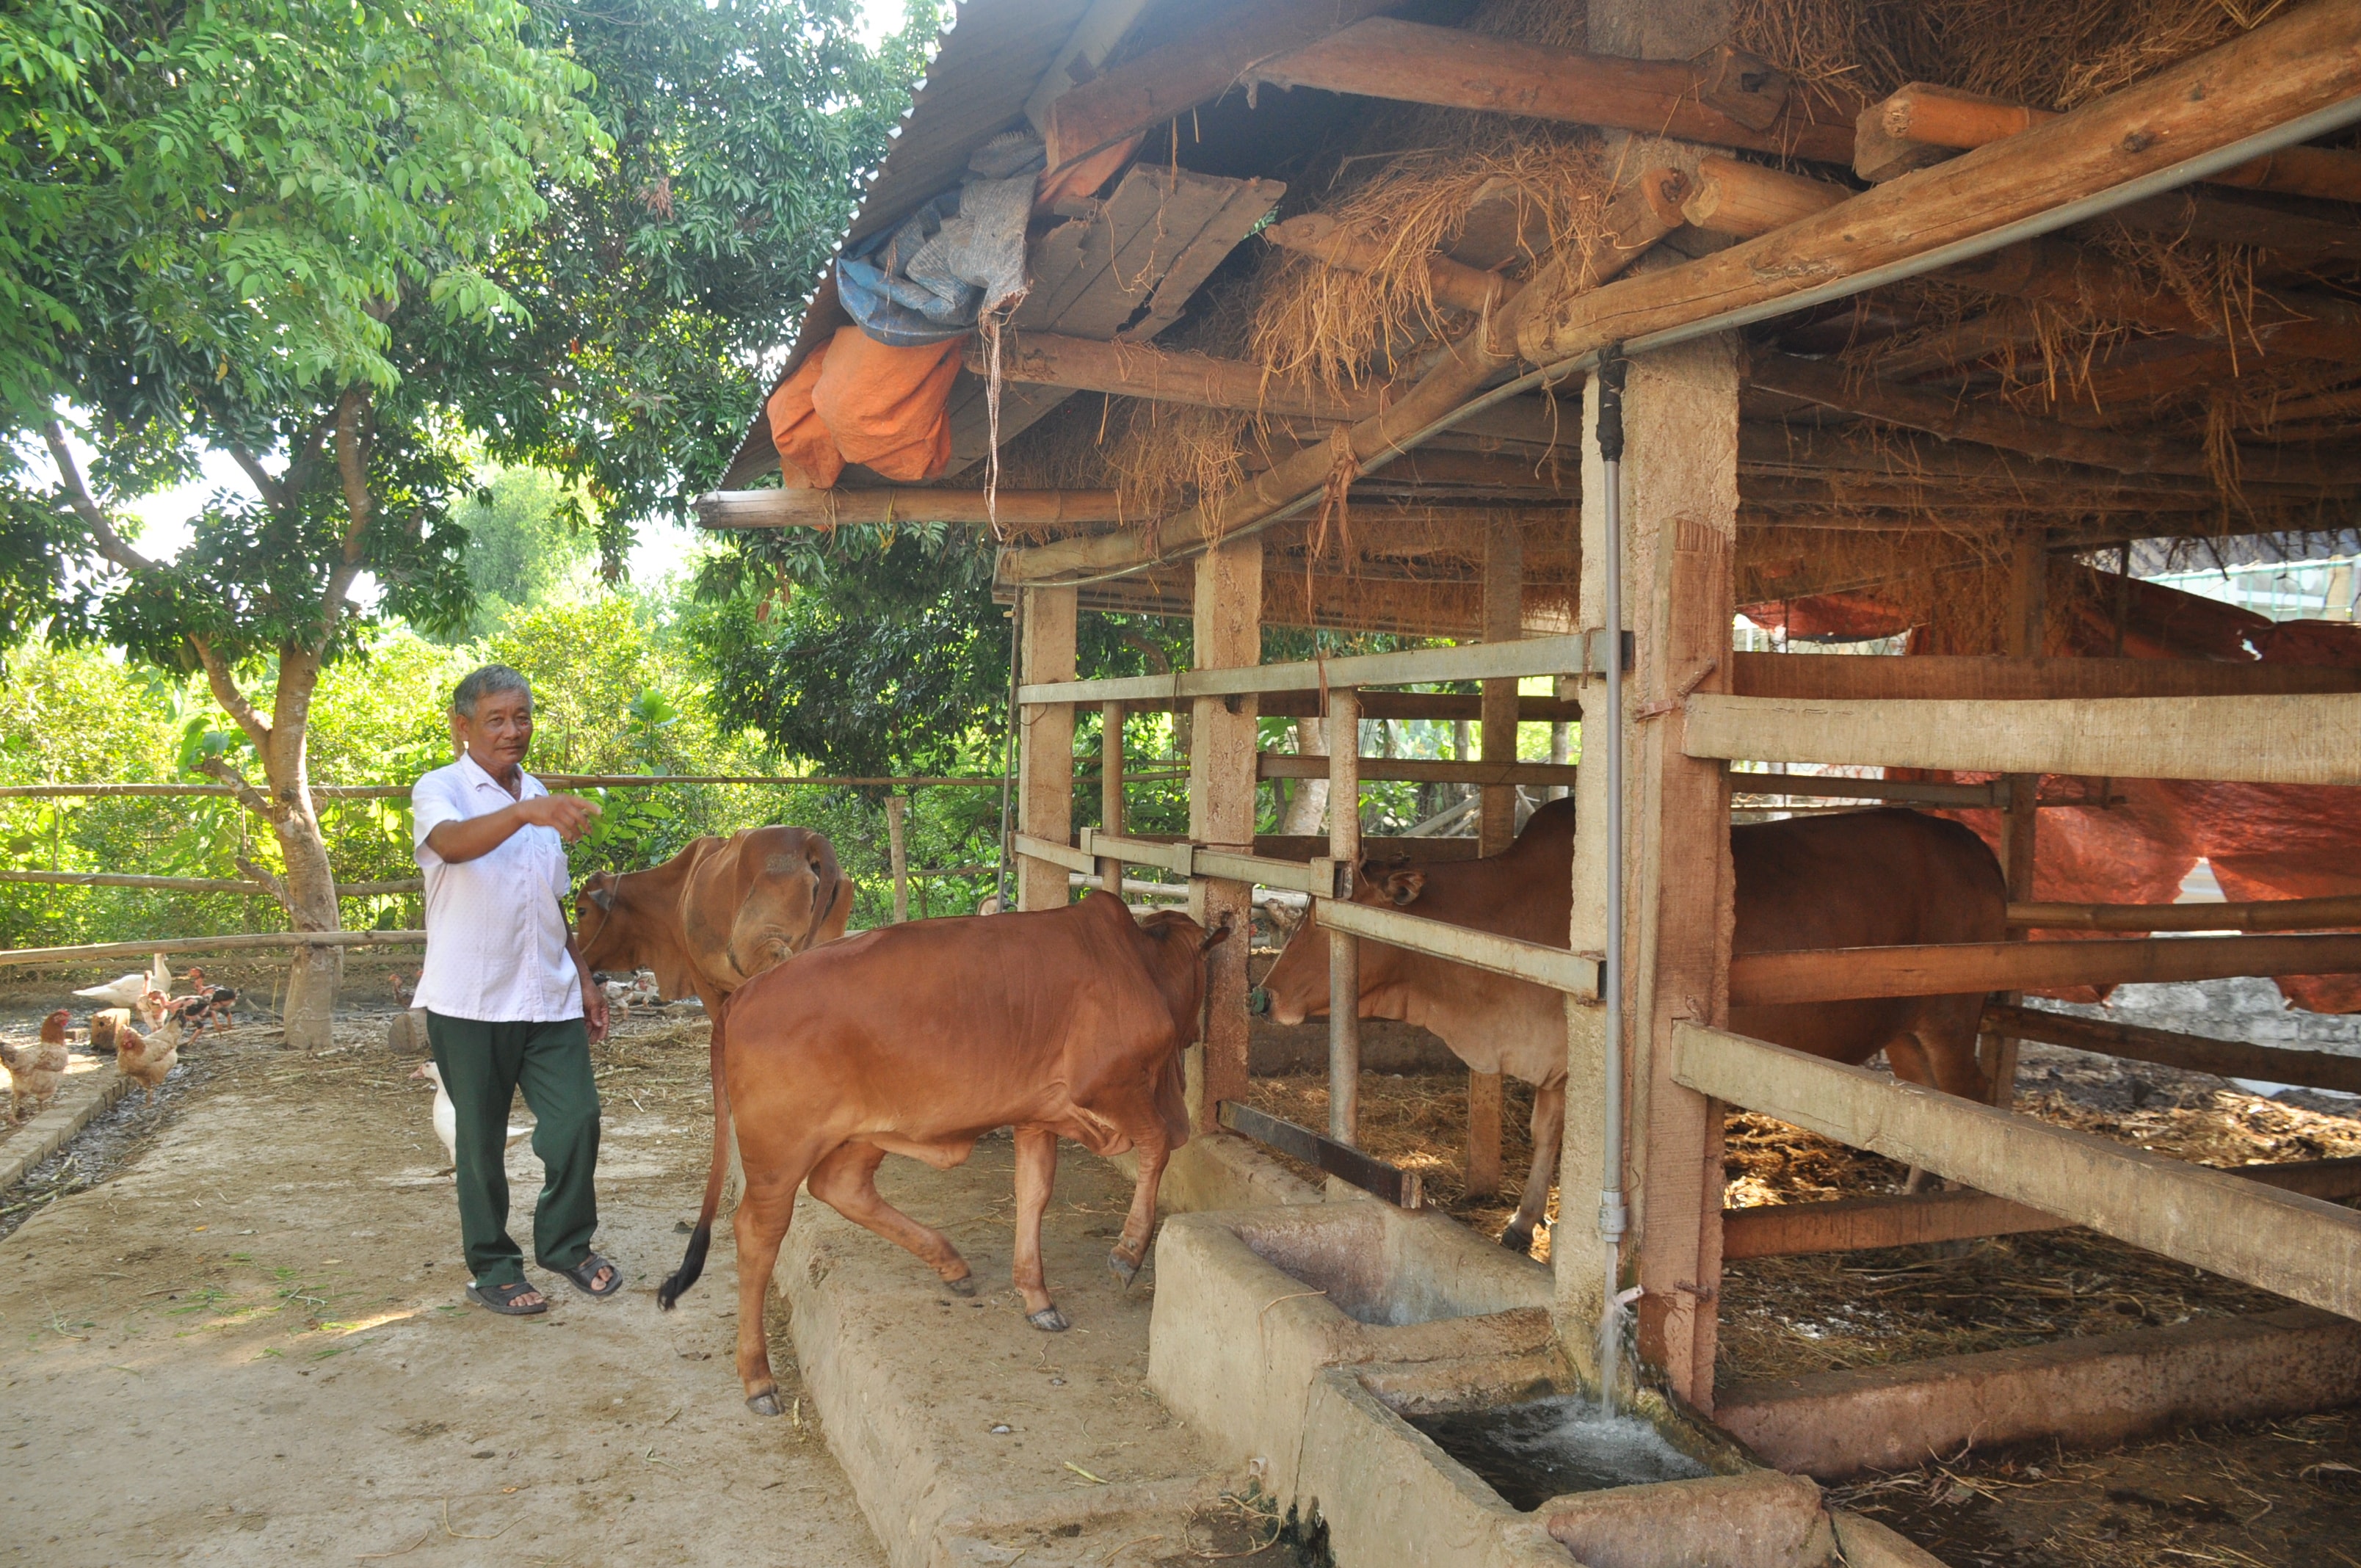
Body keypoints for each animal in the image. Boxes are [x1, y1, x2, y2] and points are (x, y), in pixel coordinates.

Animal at [656, 888, 1227, 1417]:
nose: (1199, 1029)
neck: (1139, 962)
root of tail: (741, 997)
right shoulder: (1109, 1087)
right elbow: (1158, 1146)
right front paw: (1128, 1253)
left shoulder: (1037, 1113)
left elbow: (1034, 1193)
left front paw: (1035, 1295)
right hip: (779, 1153)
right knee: (758, 1234)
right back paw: (758, 1377)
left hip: (866, 1132)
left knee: (842, 1188)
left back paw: (951, 1264)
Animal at [1265, 802, 2002, 1256]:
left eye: (1320, 920)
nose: (1262, 993)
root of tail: (1974, 846)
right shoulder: (1553, 1058)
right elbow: (1545, 1135)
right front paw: (1520, 1224)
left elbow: (1568, 1145)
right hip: (1904, 1028)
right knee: (1928, 1110)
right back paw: (1913, 1201)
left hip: (1949, 1014)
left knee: (1970, 1100)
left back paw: (1961, 1224)